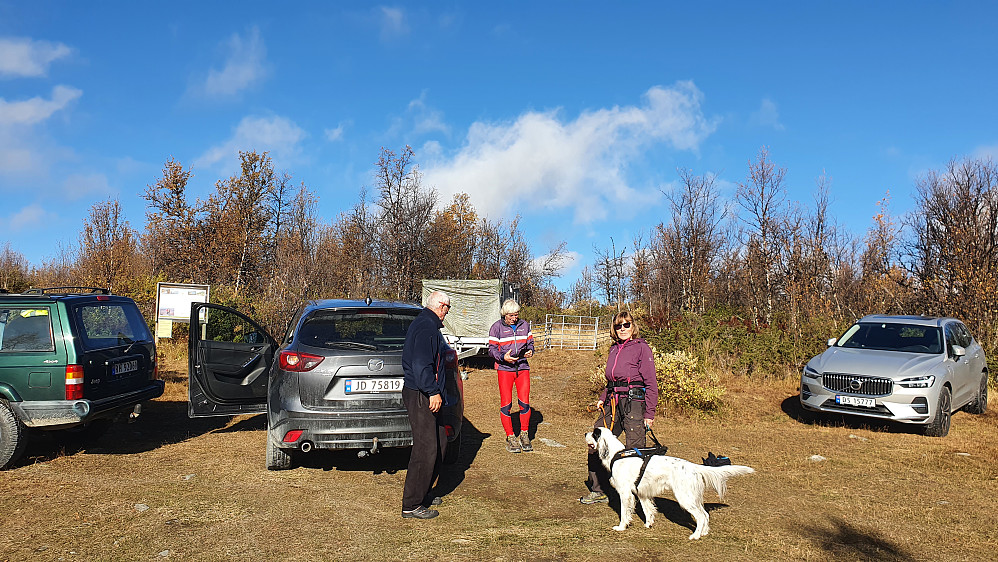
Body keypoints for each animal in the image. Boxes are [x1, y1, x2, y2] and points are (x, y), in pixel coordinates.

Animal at [584, 424, 752, 540]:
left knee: (701, 516)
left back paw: (695, 536)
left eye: (594, 433)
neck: (616, 455)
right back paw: (703, 533)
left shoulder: (625, 493)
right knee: (705, 515)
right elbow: (648, 510)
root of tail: (693, 466)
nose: (585, 433)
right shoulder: (642, 492)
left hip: (685, 498)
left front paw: (621, 527)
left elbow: (624, 513)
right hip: (692, 497)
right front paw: (648, 524)